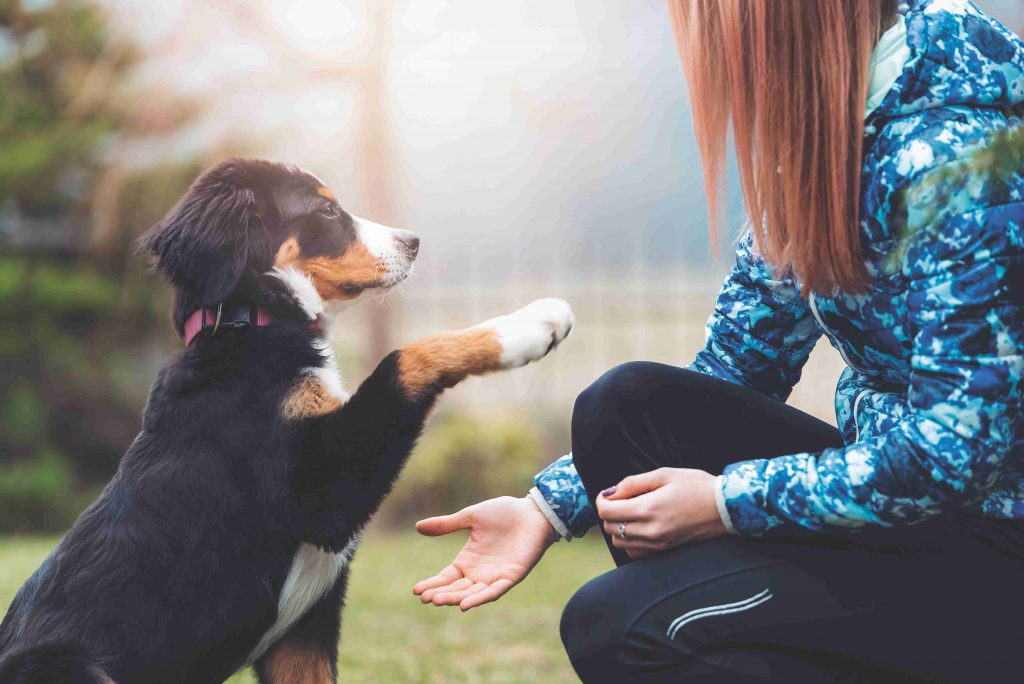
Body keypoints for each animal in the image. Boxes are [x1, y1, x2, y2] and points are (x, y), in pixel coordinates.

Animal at [0, 158, 577, 684]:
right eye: (324, 210)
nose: (413, 241)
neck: (247, 326)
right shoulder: (320, 492)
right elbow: (405, 356)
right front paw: (529, 326)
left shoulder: (302, 635)